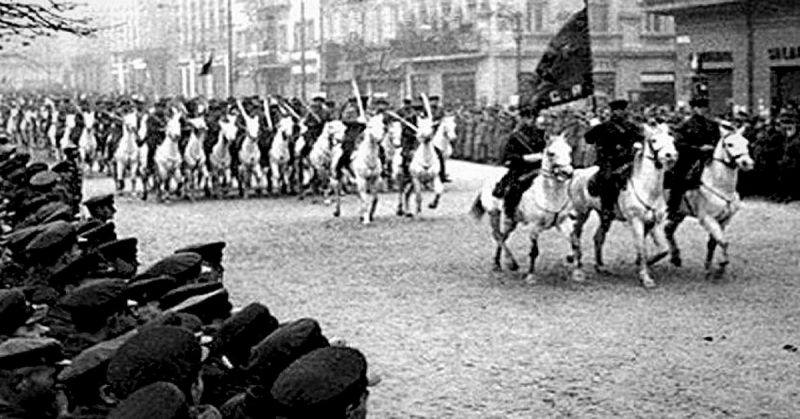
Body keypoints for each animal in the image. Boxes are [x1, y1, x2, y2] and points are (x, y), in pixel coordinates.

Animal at [468, 134, 576, 286]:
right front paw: (530, 276)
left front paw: (574, 265)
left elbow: (573, 240)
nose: (567, 173)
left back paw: (498, 263)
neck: (550, 196)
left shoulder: (563, 222)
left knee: (503, 236)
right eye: (551, 153)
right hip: (494, 213)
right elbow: (534, 251)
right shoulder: (534, 227)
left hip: (511, 221)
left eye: (569, 151)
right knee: (497, 235)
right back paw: (510, 263)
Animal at [568, 124, 676, 288]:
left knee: (598, 237)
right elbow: (642, 248)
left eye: (671, 139)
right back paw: (577, 270)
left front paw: (644, 264)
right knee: (575, 236)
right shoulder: (636, 222)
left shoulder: (655, 222)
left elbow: (663, 250)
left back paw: (600, 266)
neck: (646, 188)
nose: (671, 155)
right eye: (654, 140)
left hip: (605, 216)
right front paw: (646, 278)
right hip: (582, 213)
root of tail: (578, 173)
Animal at [664, 126, 752, 280]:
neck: (718, 185)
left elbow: (714, 243)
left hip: (679, 213)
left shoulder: (724, 220)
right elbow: (723, 241)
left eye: (746, 143)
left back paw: (676, 258)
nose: (747, 163)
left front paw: (710, 268)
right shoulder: (707, 219)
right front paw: (721, 264)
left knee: (668, 230)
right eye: (729, 144)